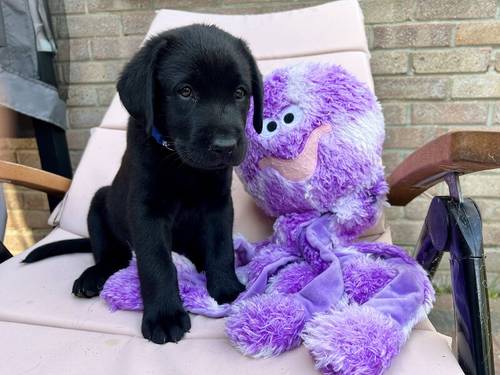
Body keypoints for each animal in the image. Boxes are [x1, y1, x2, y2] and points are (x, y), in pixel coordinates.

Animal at [23, 24, 264, 344]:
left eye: (240, 93)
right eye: (185, 92)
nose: (225, 146)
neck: (181, 163)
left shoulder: (219, 205)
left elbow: (221, 248)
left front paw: (227, 289)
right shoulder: (146, 211)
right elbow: (156, 263)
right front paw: (164, 316)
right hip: (98, 206)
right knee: (113, 256)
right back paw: (93, 277)